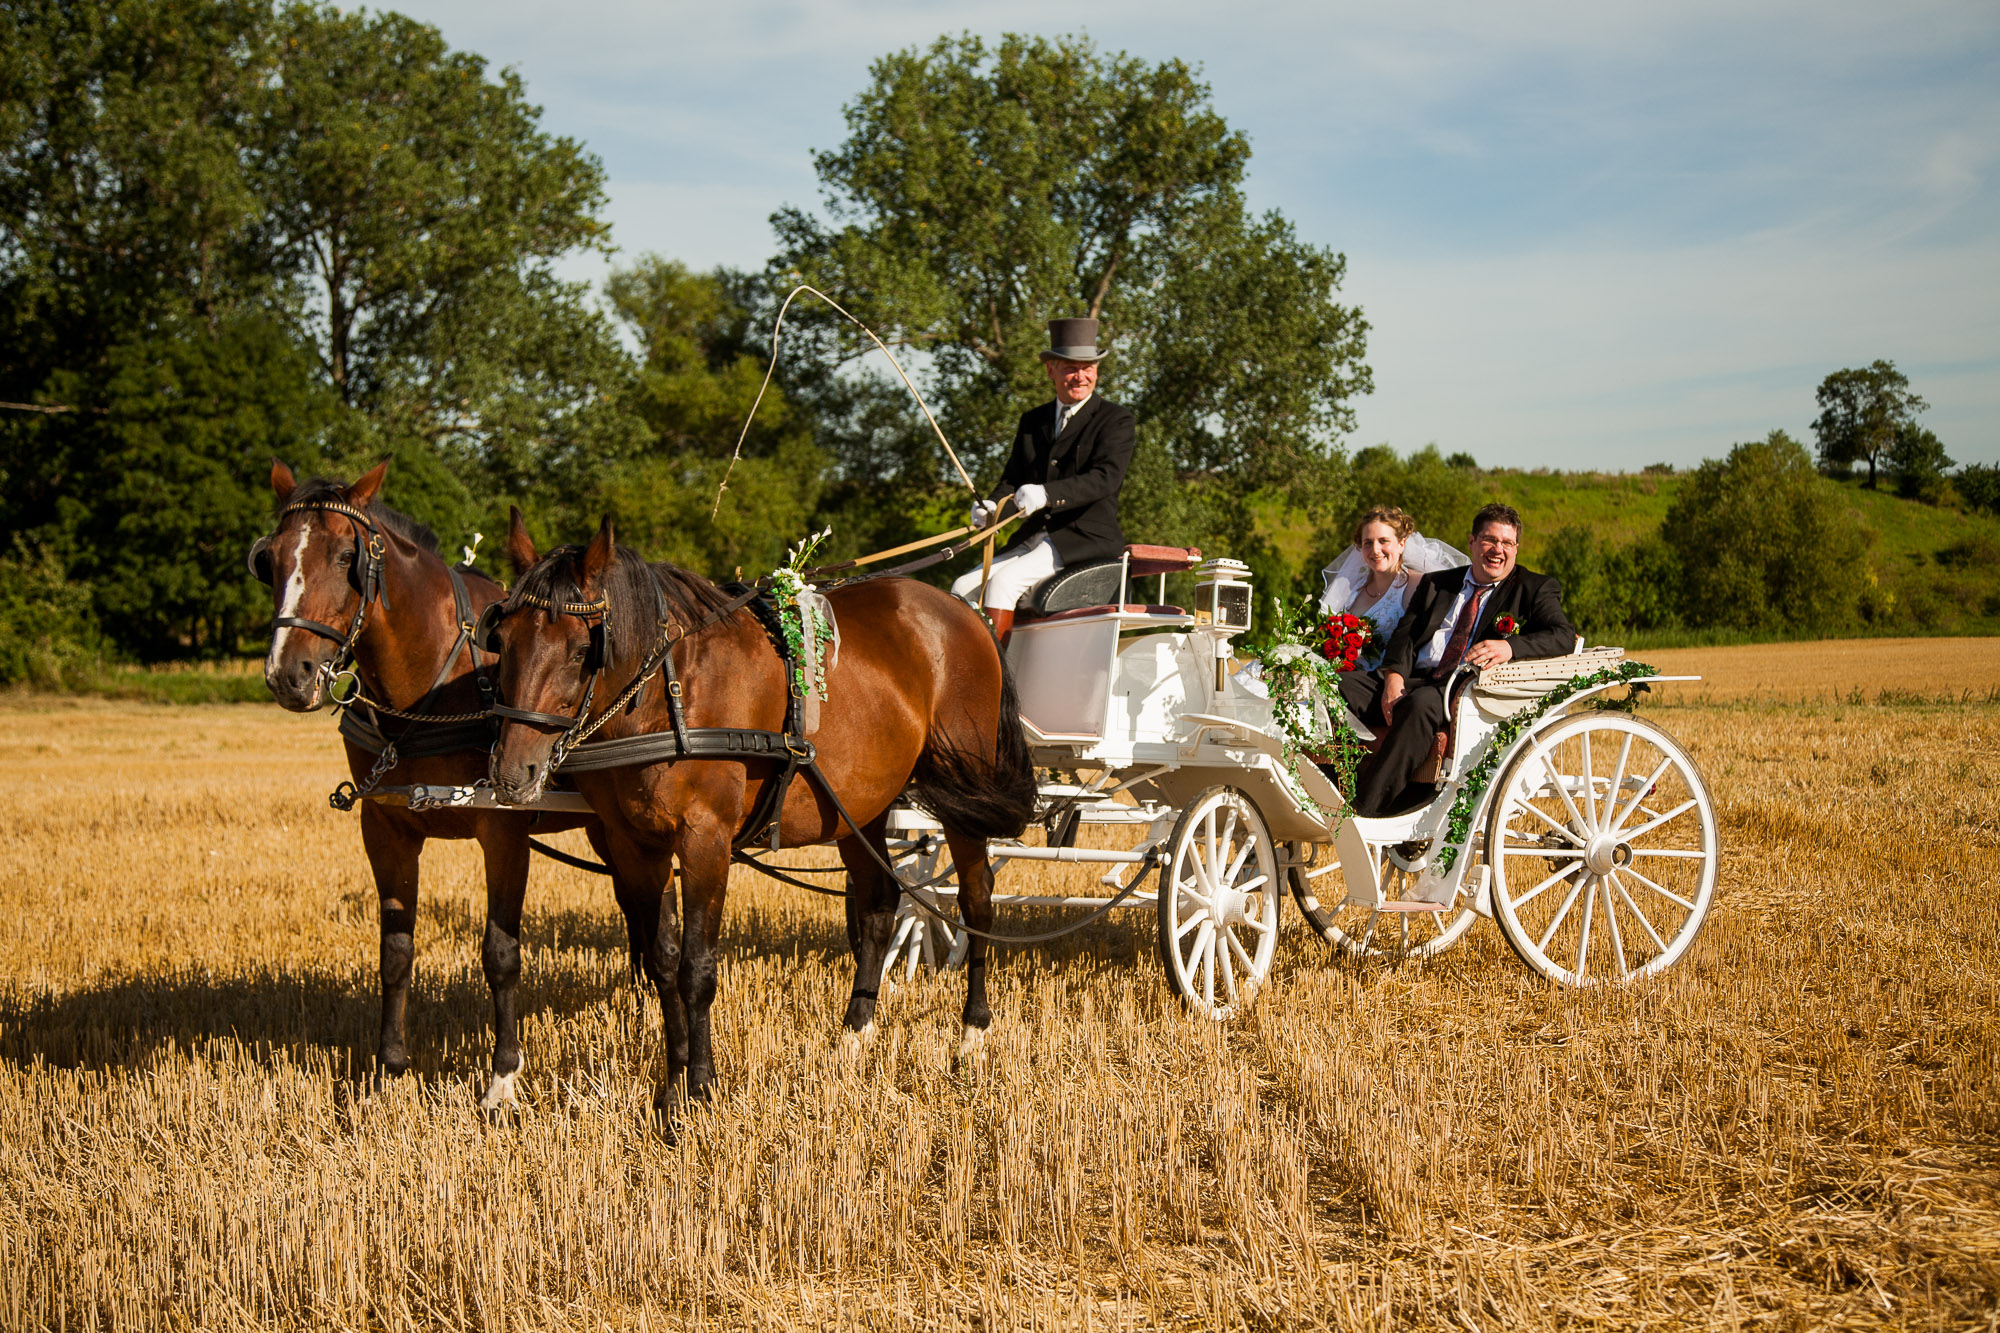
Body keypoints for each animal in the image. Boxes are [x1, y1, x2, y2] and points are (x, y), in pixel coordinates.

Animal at [248, 462, 656, 1104]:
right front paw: (387, 1071)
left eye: (347, 557)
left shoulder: (503, 829)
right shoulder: (384, 827)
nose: (288, 674)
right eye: (270, 558)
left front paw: (503, 1076)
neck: (434, 683)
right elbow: (395, 951)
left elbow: (501, 953)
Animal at [484, 512, 1032, 1104]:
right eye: (503, 641)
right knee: (880, 905)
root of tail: (966, 612)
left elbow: (698, 968)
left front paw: (701, 1087)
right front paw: (671, 1087)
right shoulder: (634, 845)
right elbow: (662, 961)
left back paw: (972, 1034)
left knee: (976, 900)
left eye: (579, 648)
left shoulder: (705, 839)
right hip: (859, 805)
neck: (670, 694)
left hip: (964, 792)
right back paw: (854, 1036)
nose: (512, 776)